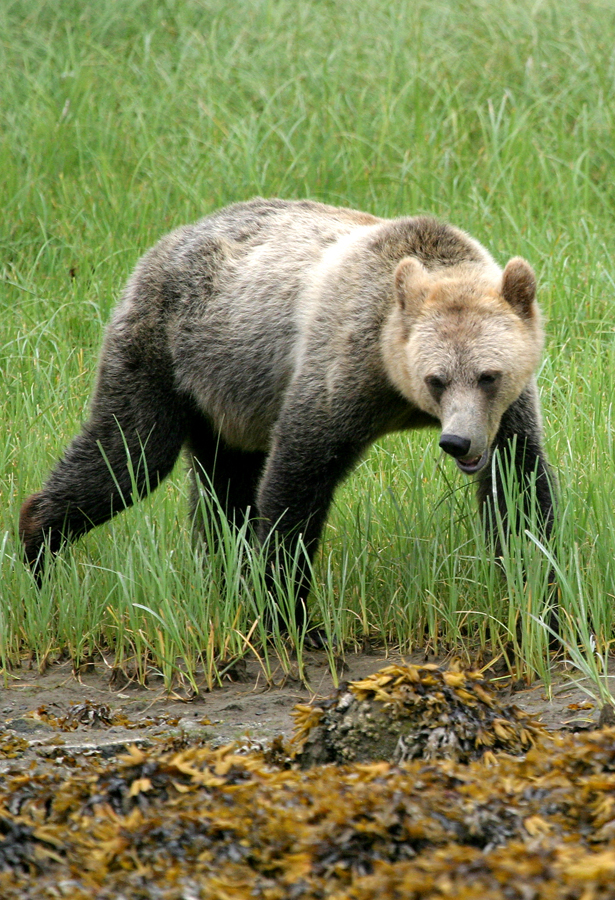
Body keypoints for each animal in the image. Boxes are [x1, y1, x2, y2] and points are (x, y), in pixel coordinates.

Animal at [21, 200, 556, 624]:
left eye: (488, 375)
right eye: (436, 379)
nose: (457, 442)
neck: (395, 388)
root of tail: (165, 240)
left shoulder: (507, 413)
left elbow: (519, 488)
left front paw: (540, 600)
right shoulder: (340, 370)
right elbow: (297, 481)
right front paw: (286, 611)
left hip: (225, 397)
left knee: (222, 489)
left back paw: (224, 577)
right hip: (164, 352)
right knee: (129, 453)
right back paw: (36, 548)